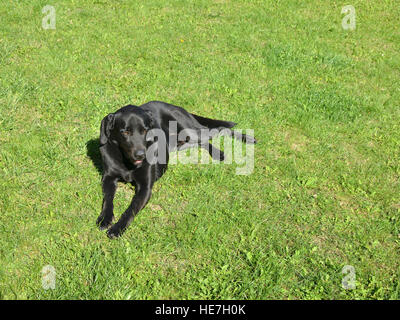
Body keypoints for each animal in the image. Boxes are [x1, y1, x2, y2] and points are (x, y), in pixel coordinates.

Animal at [96, 100, 256, 238]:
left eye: (145, 130)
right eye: (125, 132)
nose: (141, 154)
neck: (127, 162)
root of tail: (171, 104)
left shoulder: (145, 188)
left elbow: (131, 209)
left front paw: (117, 228)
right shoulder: (108, 178)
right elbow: (108, 199)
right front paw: (105, 218)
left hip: (190, 130)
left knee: (219, 130)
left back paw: (244, 140)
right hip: (182, 143)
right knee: (203, 141)